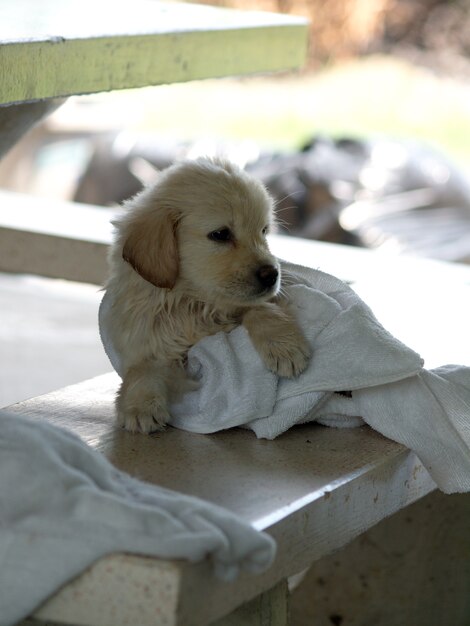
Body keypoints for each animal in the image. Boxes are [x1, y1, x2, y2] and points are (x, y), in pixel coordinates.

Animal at [107, 156, 312, 432]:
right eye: (221, 234)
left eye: (264, 231)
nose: (272, 275)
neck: (194, 302)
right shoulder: (146, 335)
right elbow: (142, 368)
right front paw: (140, 406)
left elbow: (261, 308)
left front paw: (284, 347)